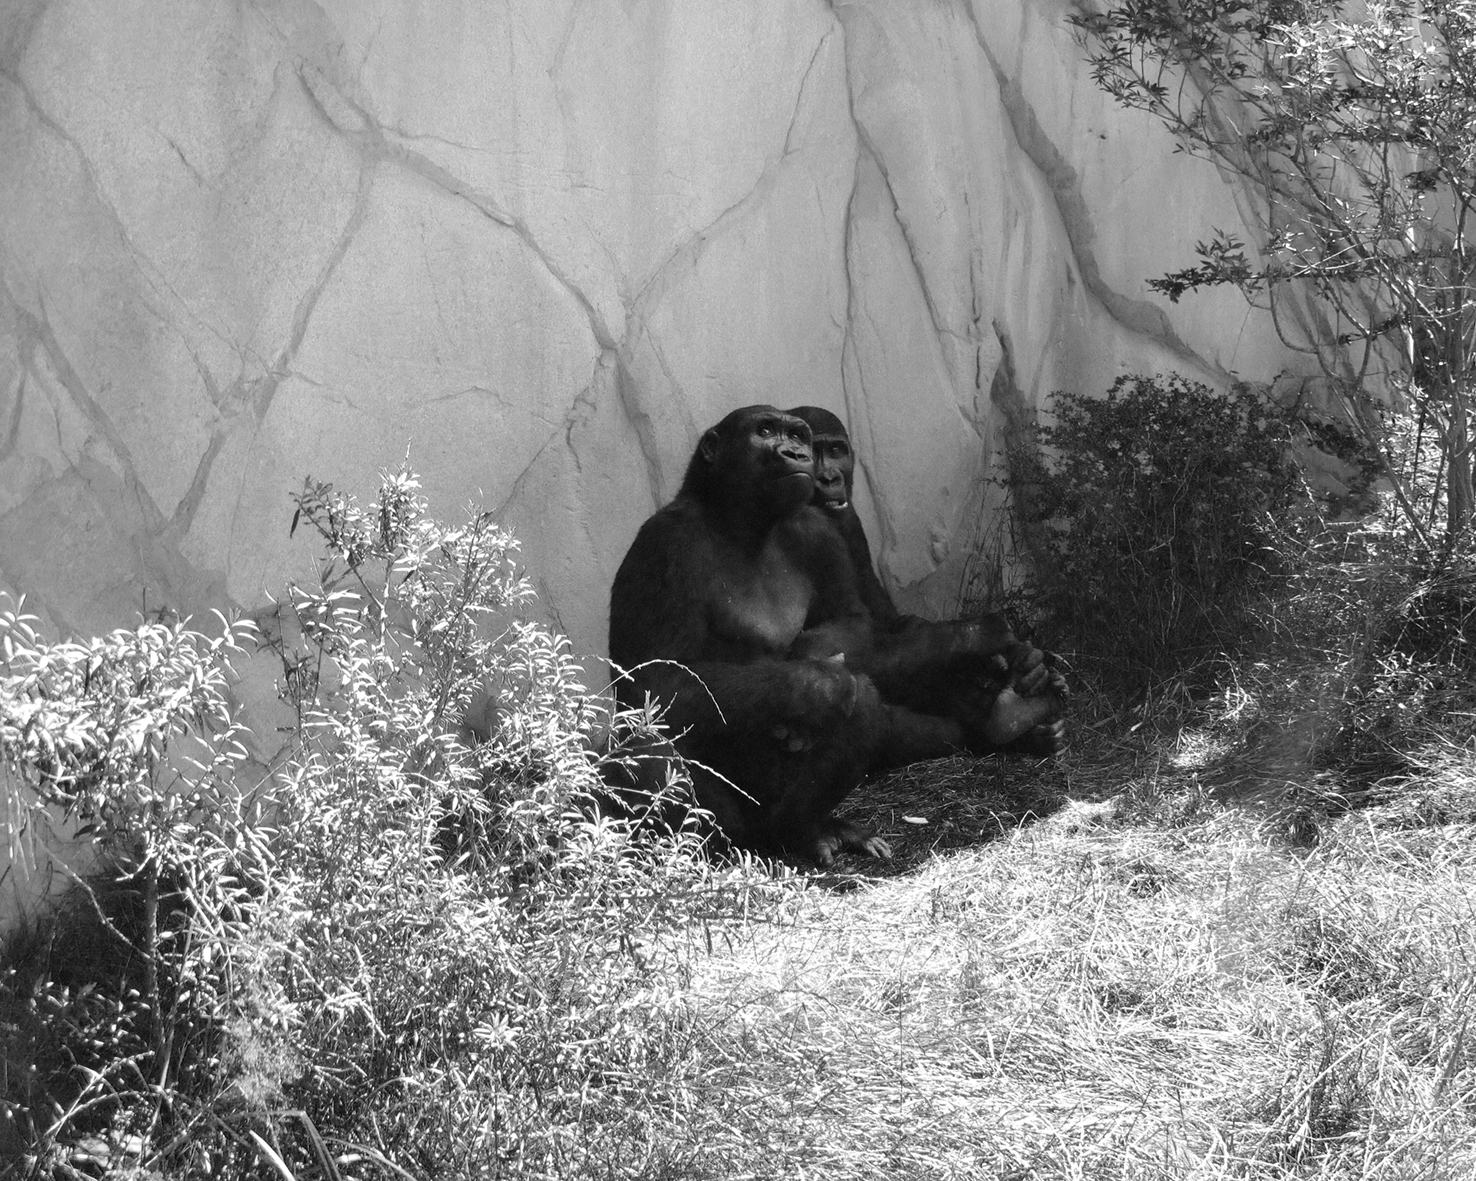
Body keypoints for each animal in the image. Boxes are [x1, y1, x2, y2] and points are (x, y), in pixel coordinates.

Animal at [791, 407, 1068, 755]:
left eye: (836, 450)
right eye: (811, 452)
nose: (830, 478)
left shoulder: (849, 517)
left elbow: (888, 619)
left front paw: (1020, 659)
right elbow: (841, 651)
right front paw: (983, 635)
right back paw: (1004, 721)